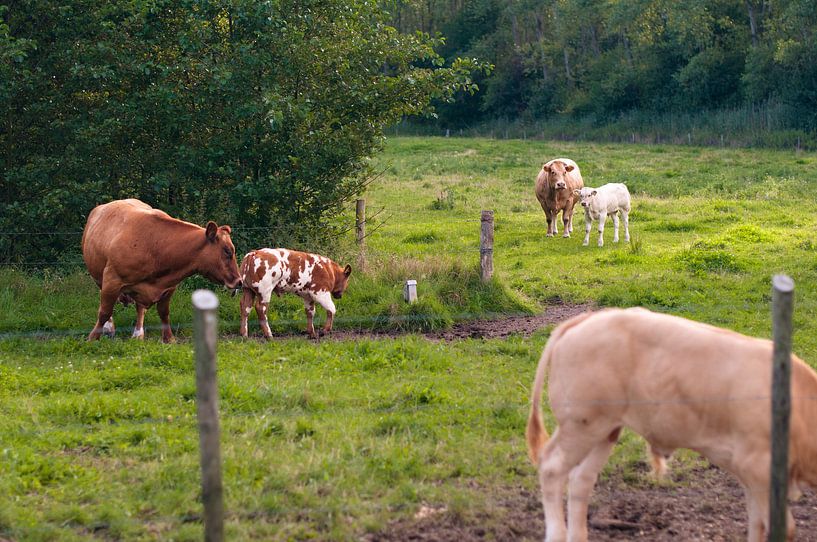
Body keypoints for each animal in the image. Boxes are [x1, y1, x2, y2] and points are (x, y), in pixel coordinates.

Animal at [81, 200, 241, 344]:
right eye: (227, 251)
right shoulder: (112, 280)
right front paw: (93, 337)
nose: (239, 281)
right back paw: (109, 329)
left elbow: (164, 313)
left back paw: (138, 334)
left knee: (140, 308)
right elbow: (104, 311)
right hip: (100, 279)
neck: (155, 246)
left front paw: (169, 338)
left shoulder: (169, 286)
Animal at [524, 308, 816, 542]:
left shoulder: (751, 476)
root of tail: (587, 318)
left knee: (580, 480)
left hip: (605, 429)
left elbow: (757, 524)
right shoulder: (757, 465)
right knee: (552, 468)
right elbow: (783, 527)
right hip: (580, 424)